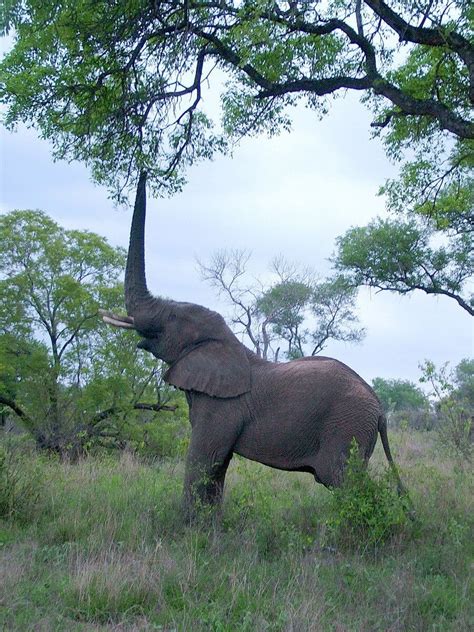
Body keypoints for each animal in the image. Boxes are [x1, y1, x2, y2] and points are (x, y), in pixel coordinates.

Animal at [101, 170, 404, 516]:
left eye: (173, 317)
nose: (145, 170)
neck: (227, 343)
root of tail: (379, 408)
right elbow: (217, 467)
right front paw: (209, 524)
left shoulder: (222, 407)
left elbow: (202, 461)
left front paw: (186, 525)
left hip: (347, 426)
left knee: (345, 482)